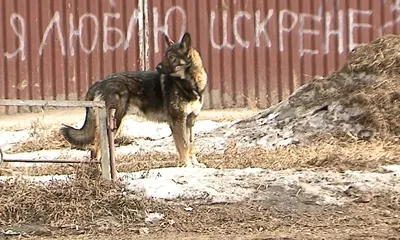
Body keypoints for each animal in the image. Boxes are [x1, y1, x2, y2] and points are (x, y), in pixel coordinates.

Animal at [61, 31, 209, 168]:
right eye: (165, 55)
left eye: (172, 57)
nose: (157, 67)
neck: (189, 83)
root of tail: (99, 82)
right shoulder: (178, 121)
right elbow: (184, 146)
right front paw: (187, 166)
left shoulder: (190, 121)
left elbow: (191, 144)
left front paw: (195, 164)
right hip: (114, 122)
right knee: (96, 147)